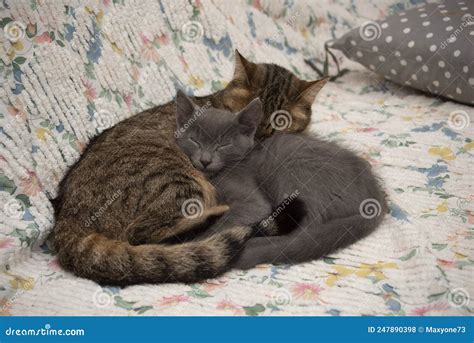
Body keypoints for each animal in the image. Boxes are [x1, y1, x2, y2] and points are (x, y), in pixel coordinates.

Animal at [50, 50, 324, 288]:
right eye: (243, 121)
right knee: (147, 234)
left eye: (275, 128)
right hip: (177, 180)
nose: (252, 146)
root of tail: (68, 219)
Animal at [176, 91, 386, 272]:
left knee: (306, 228)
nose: (205, 160)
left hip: (293, 170)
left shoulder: (252, 203)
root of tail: (377, 199)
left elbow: (222, 224)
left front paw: (198, 246)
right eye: (194, 141)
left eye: (223, 145)